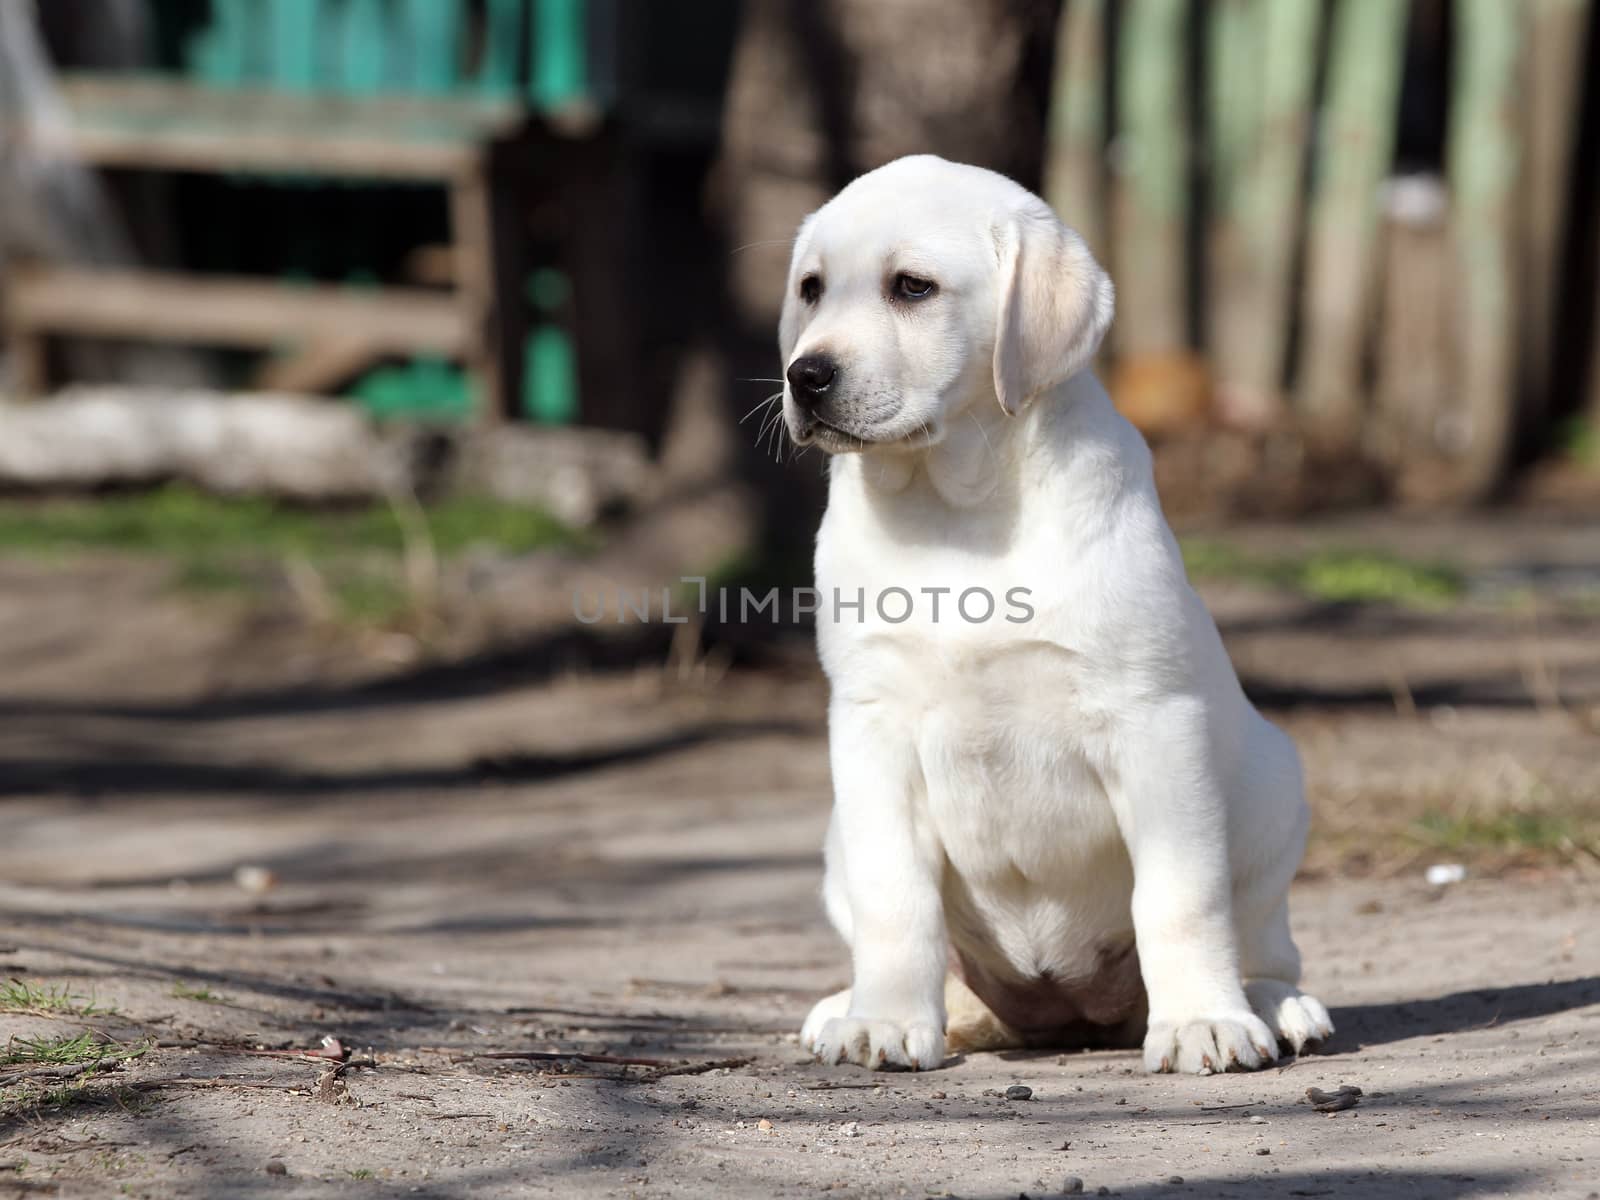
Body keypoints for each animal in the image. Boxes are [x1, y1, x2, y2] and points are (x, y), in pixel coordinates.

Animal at [780, 155, 1331, 1075]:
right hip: (832, 839)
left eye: (912, 287)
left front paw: (1201, 1023)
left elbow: (1180, 895)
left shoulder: (1153, 722)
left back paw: (1270, 1005)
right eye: (811, 289)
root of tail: (1065, 1011)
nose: (804, 375)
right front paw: (885, 1018)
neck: (959, 509)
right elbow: (897, 901)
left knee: (1263, 942)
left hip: (1272, 786)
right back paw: (852, 1007)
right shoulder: (869, 728)